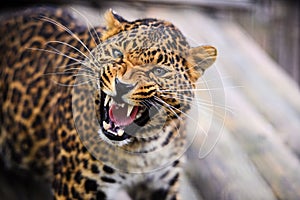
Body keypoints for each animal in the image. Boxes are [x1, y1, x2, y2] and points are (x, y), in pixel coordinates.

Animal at [0, 6, 216, 200]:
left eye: (158, 71)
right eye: (117, 54)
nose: (122, 86)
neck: (141, 149)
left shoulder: (161, 183)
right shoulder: (76, 187)